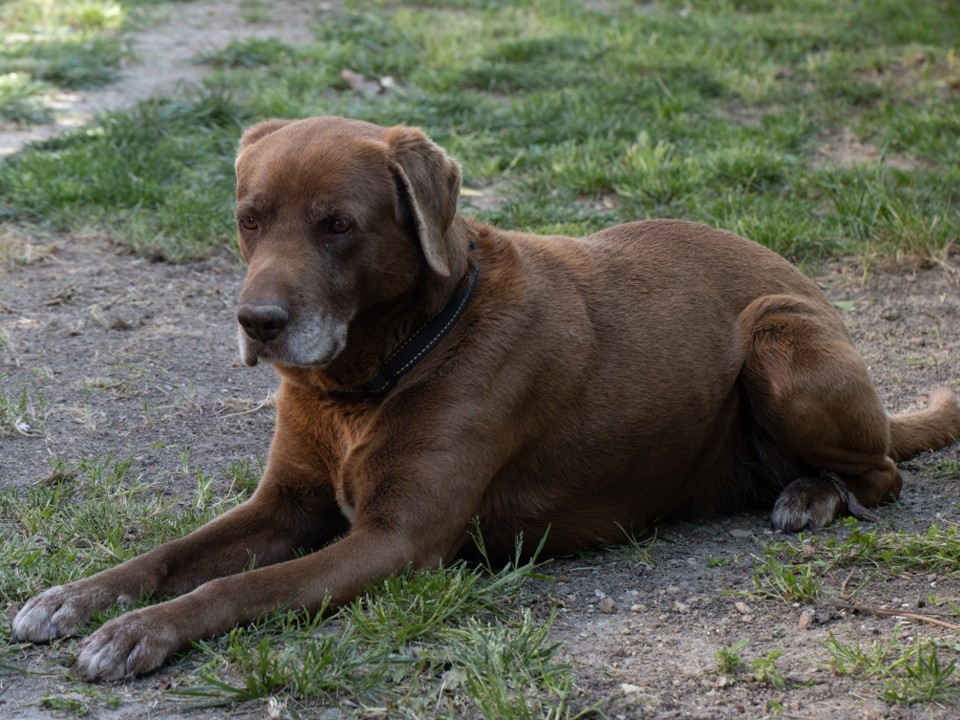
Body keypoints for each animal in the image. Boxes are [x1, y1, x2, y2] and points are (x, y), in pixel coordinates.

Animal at [9, 118, 960, 680]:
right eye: (250, 218)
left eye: (338, 225)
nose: (258, 323)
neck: (376, 374)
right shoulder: (285, 503)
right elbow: (172, 555)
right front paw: (78, 598)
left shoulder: (395, 541)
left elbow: (234, 589)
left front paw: (141, 632)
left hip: (779, 340)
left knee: (883, 473)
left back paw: (812, 495)